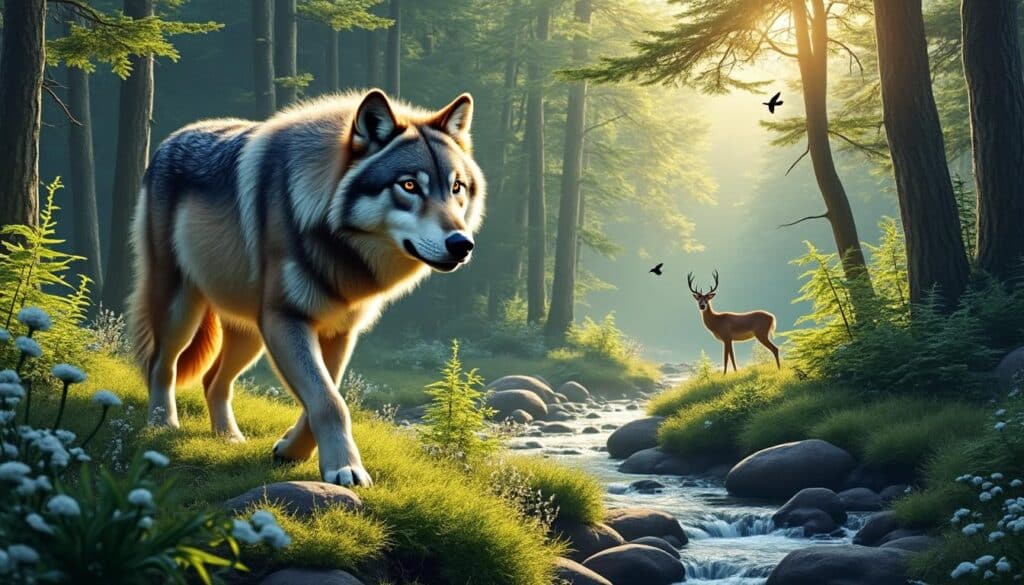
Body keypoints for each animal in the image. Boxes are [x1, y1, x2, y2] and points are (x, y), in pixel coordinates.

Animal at [127, 90, 484, 486]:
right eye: (409, 185)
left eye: (456, 187)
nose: (462, 244)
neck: (338, 246)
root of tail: (170, 140)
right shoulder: (287, 320)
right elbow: (330, 401)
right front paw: (346, 466)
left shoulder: (339, 332)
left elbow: (325, 395)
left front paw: (290, 451)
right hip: (183, 310)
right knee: (161, 364)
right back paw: (163, 425)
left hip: (251, 334)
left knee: (212, 381)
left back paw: (228, 437)